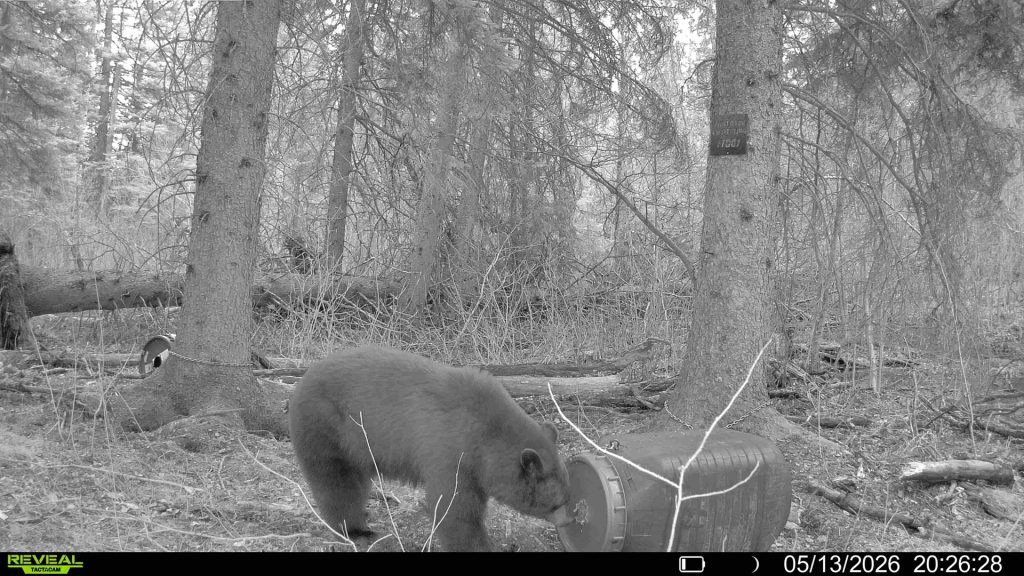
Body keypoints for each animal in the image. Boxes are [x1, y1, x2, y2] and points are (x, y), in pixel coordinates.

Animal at [289, 345, 573, 551]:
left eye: (567, 498)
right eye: (557, 503)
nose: (570, 520)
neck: (484, 434)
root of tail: (304, 377)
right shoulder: (450, 453)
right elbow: (454, 509)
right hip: (326, 425)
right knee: (335, 481)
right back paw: (356, 531)